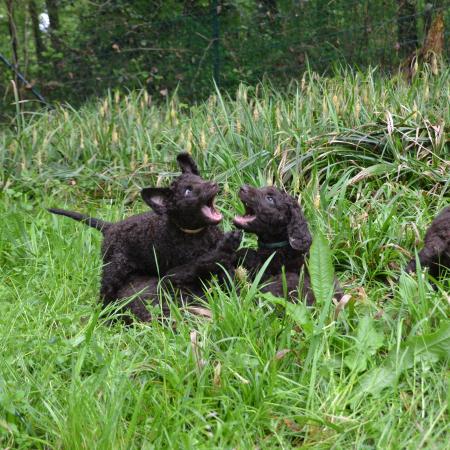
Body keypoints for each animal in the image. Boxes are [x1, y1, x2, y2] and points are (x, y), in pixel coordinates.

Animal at [48, 151, 239, 310]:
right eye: (187, 191)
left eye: (200, 179)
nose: (213, 184)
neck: (197, 233)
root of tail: (111, 226)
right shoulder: (176, 272)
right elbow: (203, 261)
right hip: (114, 268)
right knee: (105, 293)